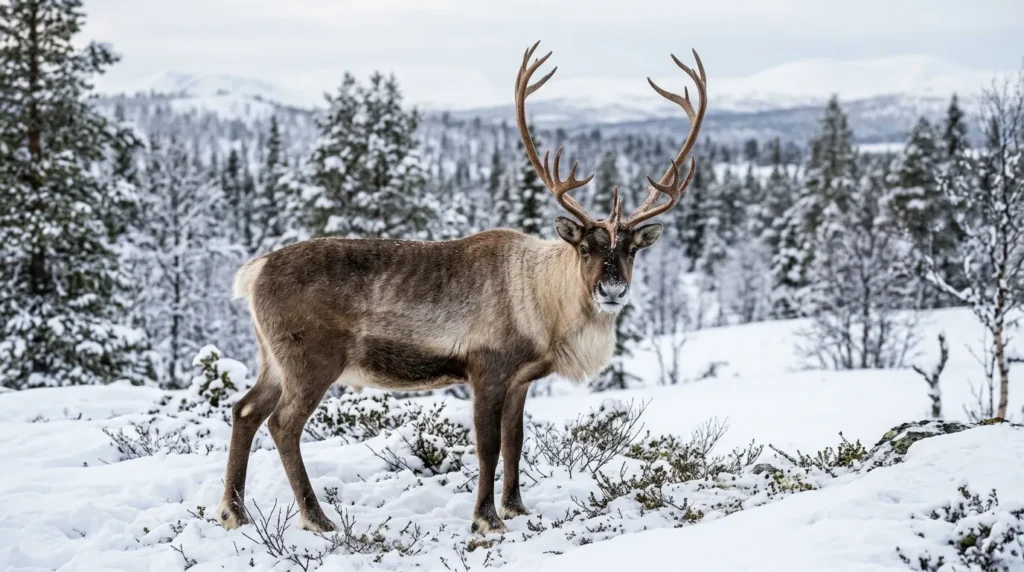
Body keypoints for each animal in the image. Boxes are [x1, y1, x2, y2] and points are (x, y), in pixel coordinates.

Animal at [216, 40, 707, 535]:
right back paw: (317, 518)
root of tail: (254, 272)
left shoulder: (520, 379)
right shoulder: (485, 368)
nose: (612, 289)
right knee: (283, 425)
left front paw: (516, 508)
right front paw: (486, 519)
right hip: (310, 360)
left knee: (244, 411)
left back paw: (234, 512)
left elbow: (515, 441)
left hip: (272, 359)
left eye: (631, 250)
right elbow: (488, 446)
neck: (543, 305)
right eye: (586, 247)